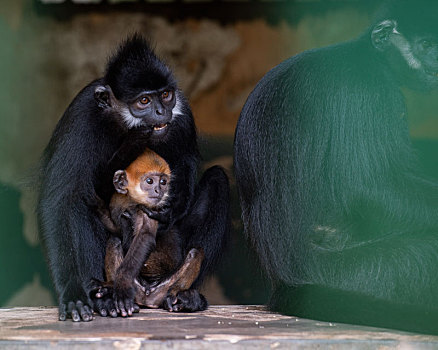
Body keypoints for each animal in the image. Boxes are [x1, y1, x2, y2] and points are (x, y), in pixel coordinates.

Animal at [95, 149, 204, 316]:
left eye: (163, 182)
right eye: (150, 181)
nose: (159, 190)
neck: (130, 202)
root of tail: (147, 294)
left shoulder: (147, 210)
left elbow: (145, 237)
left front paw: (123, 284)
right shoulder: (116, 201)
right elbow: (115, 228)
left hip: (163, 289)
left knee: (195, 251)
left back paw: (179, 295)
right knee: (114, 240)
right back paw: (111, 286)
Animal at [234, 0, 438, 334]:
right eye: (426, 45)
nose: (435, 61)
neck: (369, 55)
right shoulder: (368, 89)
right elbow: (371, 188)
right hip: (357, 272)